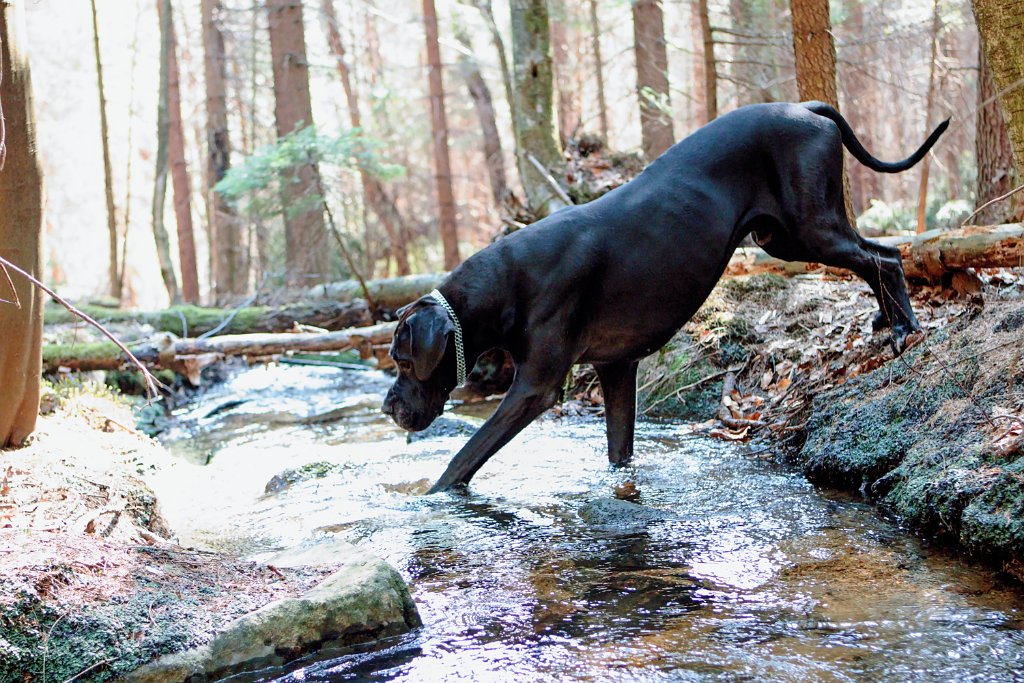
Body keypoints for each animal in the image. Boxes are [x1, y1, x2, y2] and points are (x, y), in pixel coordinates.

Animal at [385, 101, 950, 493]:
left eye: (404, 360)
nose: (389, 407)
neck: (510, 281)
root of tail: (807, 106)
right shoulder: (616, 369)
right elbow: (619, 449)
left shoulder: (534, 389)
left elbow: (465, 455)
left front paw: (429, 500)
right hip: (786, 237)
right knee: (878, 254)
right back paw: (886, 321)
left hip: (813, 230)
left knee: (887, 257)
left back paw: (904, 327)